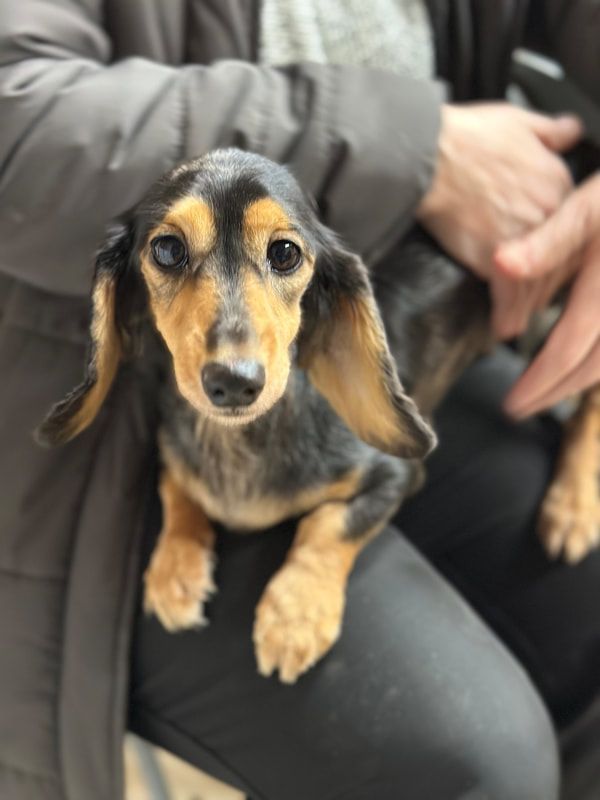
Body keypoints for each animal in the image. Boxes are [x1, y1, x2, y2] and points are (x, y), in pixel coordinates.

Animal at [37, 145, 600, 680]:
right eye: (168, 249)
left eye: (284, 253)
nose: (234, 382)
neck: (241, 440)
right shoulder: (173, 448)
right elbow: (178, 488)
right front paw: (175, 571)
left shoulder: (395, 475)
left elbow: (328, 526)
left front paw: (296, 615)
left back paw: (573, 505)